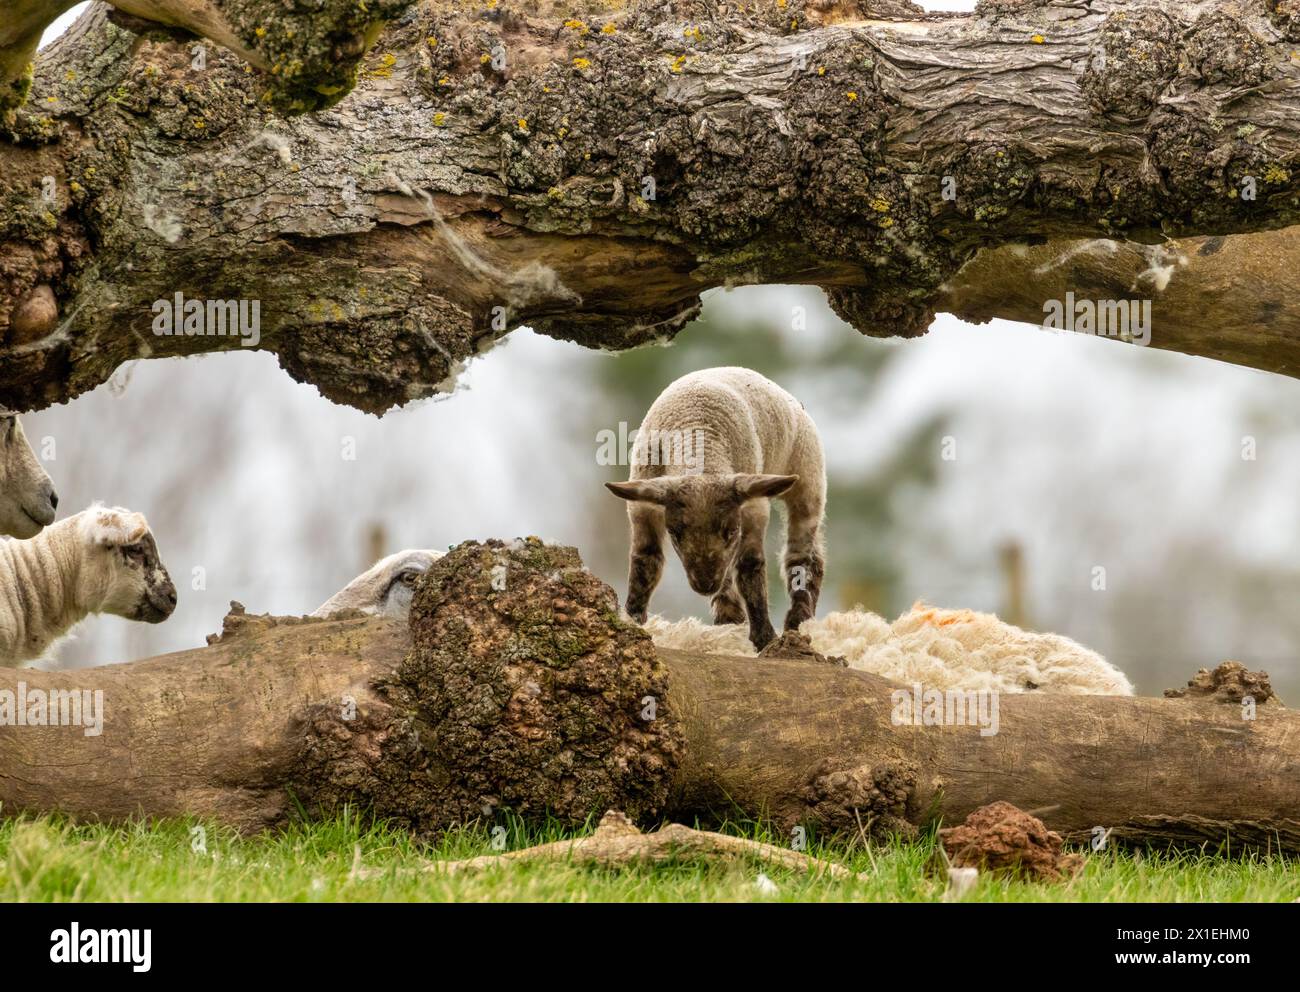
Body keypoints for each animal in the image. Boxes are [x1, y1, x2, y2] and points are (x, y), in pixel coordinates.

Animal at [605, 364, 826, 652]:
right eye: (675, 534)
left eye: (732, 531)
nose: (705, 585)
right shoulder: (643, 506)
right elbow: (645, 560)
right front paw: (632, 619)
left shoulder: (753, 507)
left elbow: (750, 565)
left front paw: (764, 637)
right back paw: (728, 616)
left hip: (807, 476)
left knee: (804, 555)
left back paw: (799, 618)